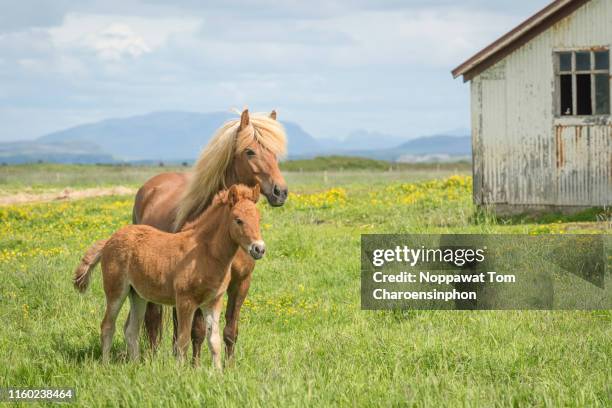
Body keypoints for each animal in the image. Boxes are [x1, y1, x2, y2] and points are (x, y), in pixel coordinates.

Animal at [73, 183, 264, 368]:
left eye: (259, 219)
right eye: (238, 220)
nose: (259, 249)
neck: (204, 252)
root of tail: (109, 240)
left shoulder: (213, 301)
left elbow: (214, 340)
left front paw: (217, 373)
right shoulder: (185, 301)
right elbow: (183, 340)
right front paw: (181, 372)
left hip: (137, 295)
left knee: (131, 330)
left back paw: (135, 366)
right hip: (116, 291)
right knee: (107, 326)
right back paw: (106, 365)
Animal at [133, 108, 286, 364]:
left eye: (275, 153)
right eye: (250, 151)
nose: (280, 192)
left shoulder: (240, 283)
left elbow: (230, 330)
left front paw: (230, 366)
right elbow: (197, 331)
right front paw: (195, 367)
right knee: (154, 320)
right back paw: (153, 358)